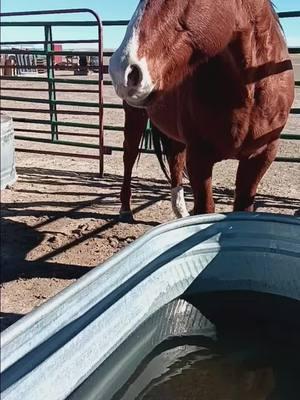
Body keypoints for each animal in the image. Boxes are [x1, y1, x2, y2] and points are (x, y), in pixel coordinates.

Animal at [109, 0, 292, 216]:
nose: (121, 69)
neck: (250, 90)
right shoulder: (199, 158)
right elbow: (206, 209)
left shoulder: (261, 156)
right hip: (134, 114)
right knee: (129, 155)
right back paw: (126, 208)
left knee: (175, 159)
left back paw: (180, 211)